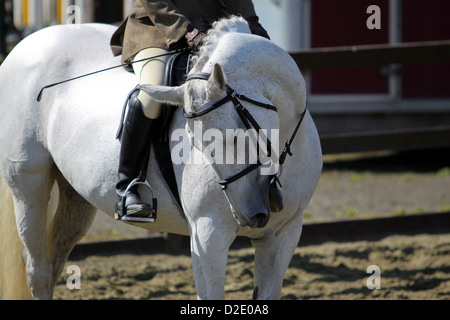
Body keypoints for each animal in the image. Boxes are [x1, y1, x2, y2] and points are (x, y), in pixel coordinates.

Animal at [0, 16, 324, 298]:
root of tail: (24, 45)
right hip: (29, 186)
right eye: (199, 145)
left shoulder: (283, 235)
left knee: (55, 259)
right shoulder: (208, 235)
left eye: (234, 134)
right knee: (38, 269)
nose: (251, 213)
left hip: (76, 197)